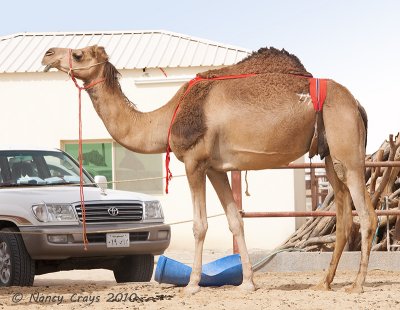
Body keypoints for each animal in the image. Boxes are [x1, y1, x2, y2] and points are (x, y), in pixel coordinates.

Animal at [42, 45, 376, 294]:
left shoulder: (194, 161)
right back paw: (324, 282)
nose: (47, 54)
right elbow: (235, 222)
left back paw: (358, 285)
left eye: (78, 55)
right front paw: (248, 283)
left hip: (348, 149)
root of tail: (357, 104)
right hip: (330, 155)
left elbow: (199, 225)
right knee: (344, 216)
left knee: (367, 214)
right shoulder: (216, 168)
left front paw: (191, 285)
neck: (167, 118)